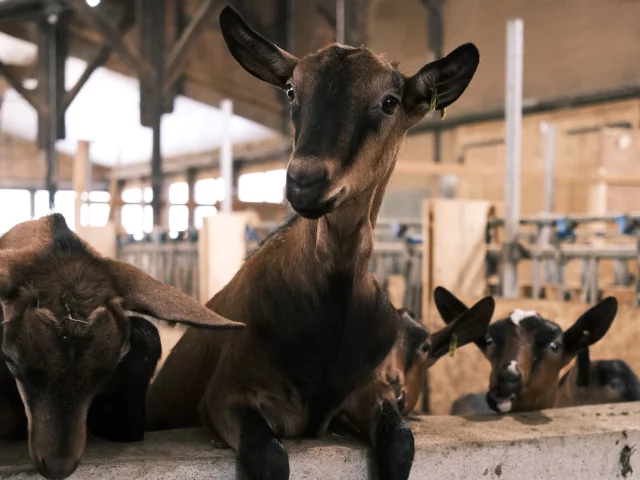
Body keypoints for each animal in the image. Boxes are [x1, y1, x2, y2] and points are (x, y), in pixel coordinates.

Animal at [149, 4, 480, 480]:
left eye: (389, 101)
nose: (304, 182)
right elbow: (269, 457)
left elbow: (401, 444)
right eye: (291, 90)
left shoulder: (370, 392)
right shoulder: (229, 393)